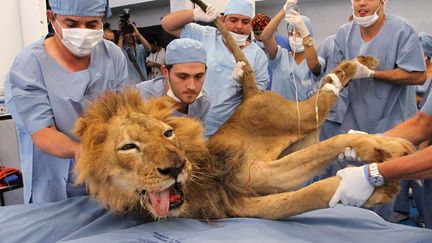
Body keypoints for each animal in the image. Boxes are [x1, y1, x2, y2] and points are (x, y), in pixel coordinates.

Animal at [73, 0, 416, 220]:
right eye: (128, 147)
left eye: (168, 133)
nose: (174, 167)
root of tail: (251, 94)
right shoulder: (249, 200)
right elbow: (314, 192)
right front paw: (368, 187)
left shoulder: (254, 171)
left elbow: (336, 142)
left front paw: (387, 149)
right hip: (303, 128)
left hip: (299, 116)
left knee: (331, 82)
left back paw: (364, 63)